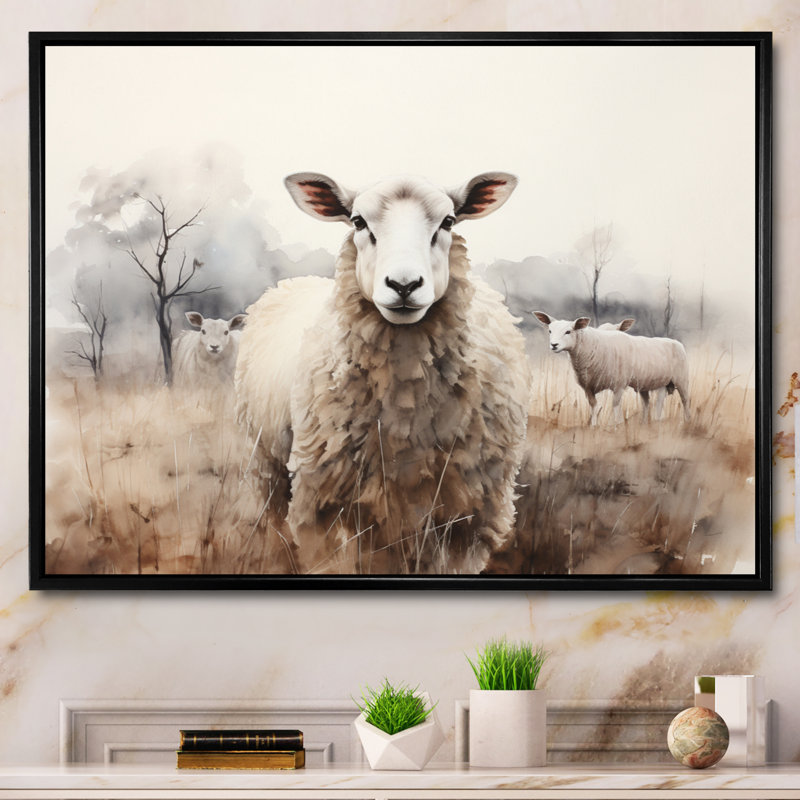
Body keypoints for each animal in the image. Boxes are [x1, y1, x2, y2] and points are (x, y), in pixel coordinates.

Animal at [235, 171, 531, 574]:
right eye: (358, 222)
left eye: (448, 221)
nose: (404, 285)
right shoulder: (320, 504)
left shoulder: (471, 515)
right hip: (265, 462)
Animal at [533, 311, 690, 426]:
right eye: (550, 331)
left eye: (568, 331)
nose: (554, 345)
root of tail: (675, 342)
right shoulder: (588, 387)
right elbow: (594, 406)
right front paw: (594, 426)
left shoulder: (619, 384)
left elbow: (615, 405)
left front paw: (617, 425)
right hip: (651, 384)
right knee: (648, 403)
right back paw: (646, 423)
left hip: (681, 379)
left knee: (684, 401)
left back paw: (686, 422)